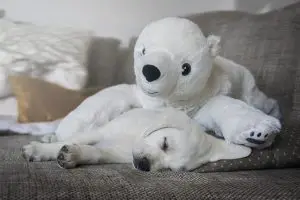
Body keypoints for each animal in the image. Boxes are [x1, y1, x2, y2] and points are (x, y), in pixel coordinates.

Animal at [21, 108, 251, 172]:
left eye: (171, 169)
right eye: (164, 143)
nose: (144, 165)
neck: (134, 138)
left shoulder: (113, 154)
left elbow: (95, 153)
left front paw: (76, 155)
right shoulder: (98, 133)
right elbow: (71, 140)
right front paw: (39, 151)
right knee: (63, 134)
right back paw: (48, 136)